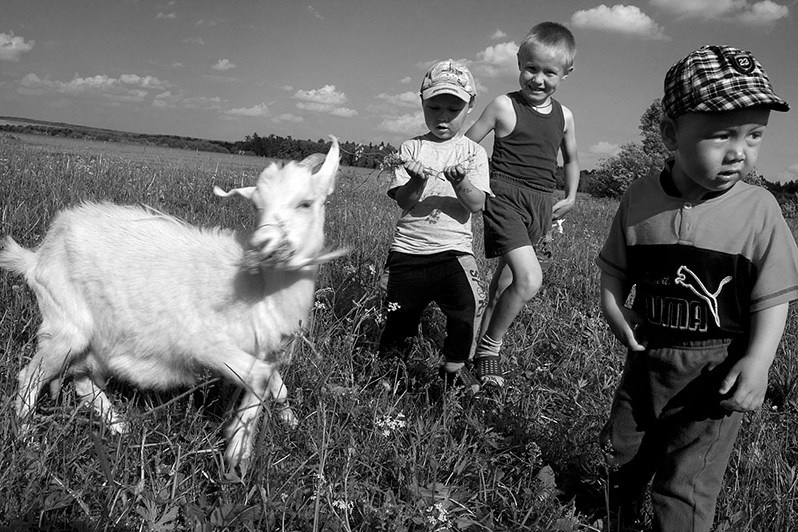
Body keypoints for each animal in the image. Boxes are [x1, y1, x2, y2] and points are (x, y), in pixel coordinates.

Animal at [0, 136, 344, 472]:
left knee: (84, 382)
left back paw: (120, 428)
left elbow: (276, 383)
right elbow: (259, 377)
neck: (260, 287)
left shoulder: (267, 349)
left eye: (305, 203)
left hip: (92, 340)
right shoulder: (206, 344)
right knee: (30, 376)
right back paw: (28, 438)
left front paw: (289, 421)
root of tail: (37, 256)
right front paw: (238, 448)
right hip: (66, 324)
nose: (264, 246)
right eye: (257, 206)